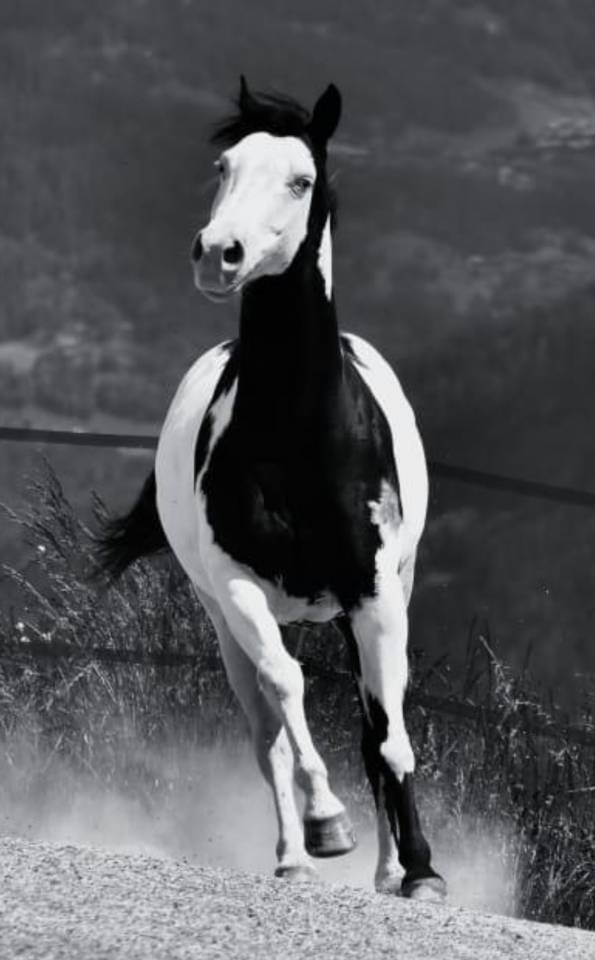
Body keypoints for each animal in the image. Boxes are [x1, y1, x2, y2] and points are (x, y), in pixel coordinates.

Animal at [98, 77, 446, 901]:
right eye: (223, 165)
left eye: (301, 180)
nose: (218, 254)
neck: (299, 435)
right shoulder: (236, 587)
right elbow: (287, 691)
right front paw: (326, 826)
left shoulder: (375, 592)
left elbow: (386, 735)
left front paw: (418, 871)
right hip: (225, 616)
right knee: (267, 733)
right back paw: (293, 856)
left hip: (374, 600)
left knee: (373, 727)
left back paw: (389, 868)